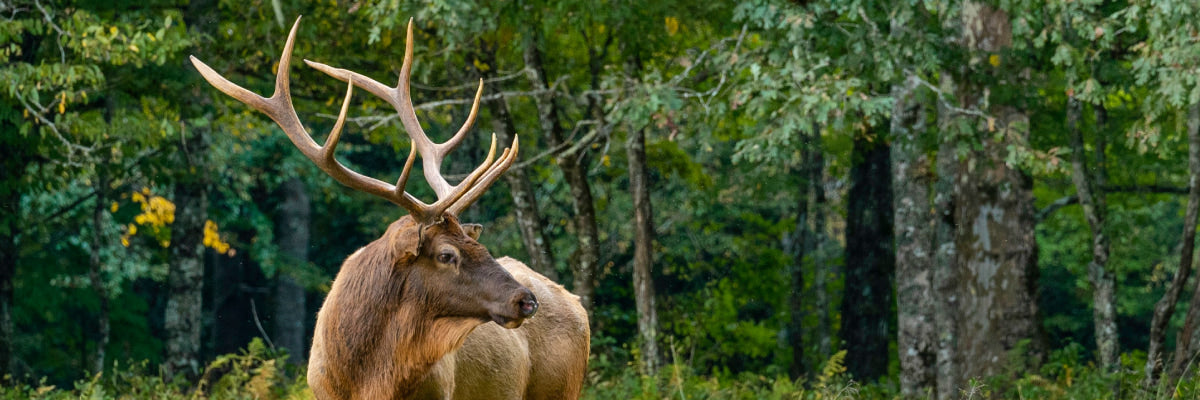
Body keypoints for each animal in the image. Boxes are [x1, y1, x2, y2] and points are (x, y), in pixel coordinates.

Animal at [188, 17, 595, 396]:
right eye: (446, 254)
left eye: (478, 244)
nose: (526, 301)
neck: (366, 379)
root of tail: (577, 304)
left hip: (563, 389)